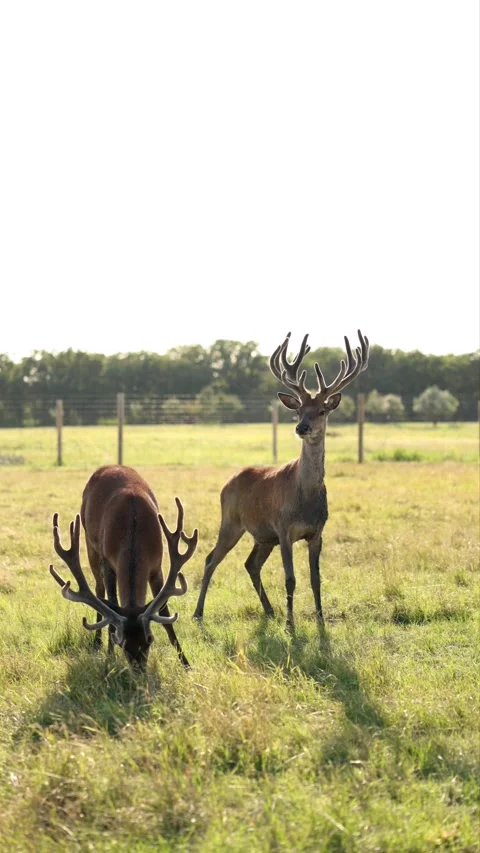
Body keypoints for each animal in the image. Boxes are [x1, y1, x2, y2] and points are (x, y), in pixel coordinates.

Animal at [49, 465, 198, 671]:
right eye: (122, 642)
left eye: (149, 639)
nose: (139, 671)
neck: (133, 527)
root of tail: (110, 466)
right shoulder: (108, 563)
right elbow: (111, 612)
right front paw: (109, 658)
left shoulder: (157, 565)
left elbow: (165, 613)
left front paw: (186, 664)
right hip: (90, 544)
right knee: (99, 589)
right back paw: (97, 643)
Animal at [193, 330, 369, 631]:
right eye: (298, 410)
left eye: (322, 410)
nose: (301, 427)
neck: (305, 497)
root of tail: (227, 482)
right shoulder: (284, 528)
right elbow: (290, 579)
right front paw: (290, 625)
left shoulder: (316, 532)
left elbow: (315, 579)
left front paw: (320, 621)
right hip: (231, 521)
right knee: (210, 559)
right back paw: (198, 613)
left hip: (263, 536)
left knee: (250, 564)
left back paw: (269, 610)